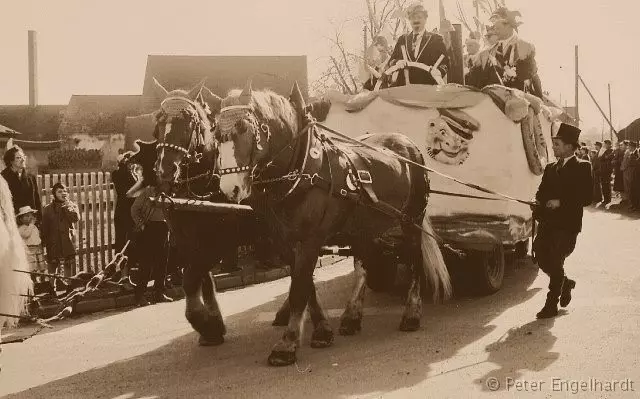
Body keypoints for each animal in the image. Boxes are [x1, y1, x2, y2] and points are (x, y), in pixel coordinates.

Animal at [212, 80, 452, 366]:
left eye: (244, 128)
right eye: (215, 134)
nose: (230, 188)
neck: (303, 169)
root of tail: (409, 145)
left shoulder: (311, 240)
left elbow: (299, 289)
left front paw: (287, 344)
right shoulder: (285, 242)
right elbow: (305, 286)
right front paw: (322, 330)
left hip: (411, 219)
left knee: (414, 260)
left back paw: (412, 314)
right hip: (363, 225)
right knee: (363, 265)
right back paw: (351, 316)